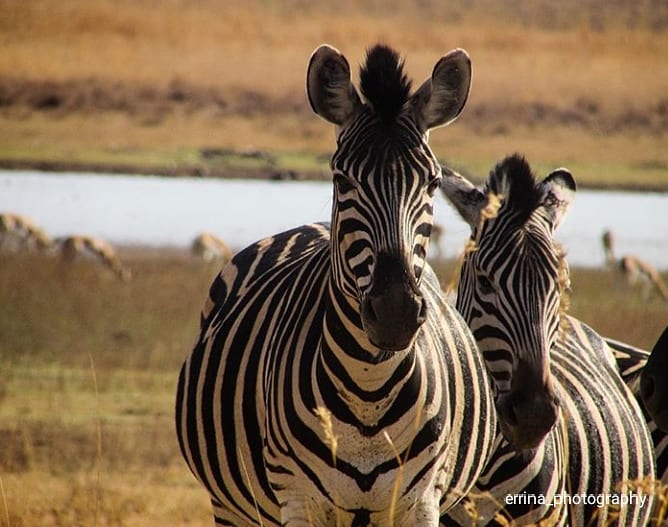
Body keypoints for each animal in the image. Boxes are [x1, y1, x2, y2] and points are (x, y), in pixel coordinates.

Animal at [172, 45, 496, 527]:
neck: (369, 390)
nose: (396, 312)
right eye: (342, 180)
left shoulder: (422, 501)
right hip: (232, 508)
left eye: (433, 183)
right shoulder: (297, 499)